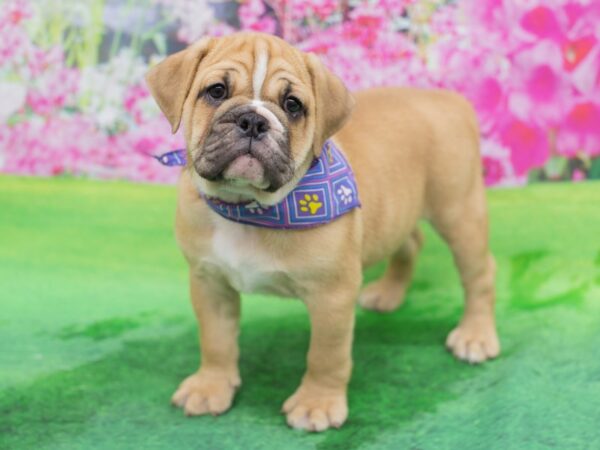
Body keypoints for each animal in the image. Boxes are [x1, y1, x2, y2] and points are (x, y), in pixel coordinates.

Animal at [146, 31, 502, 432]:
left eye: (292, 105)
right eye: (216, 91)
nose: (253, 120)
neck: (248, 207)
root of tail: (448, 98)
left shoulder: (332, 296)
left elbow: (325, 355)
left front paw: (317, 403)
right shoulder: (209, 283)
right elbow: (216, 340)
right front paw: (211, 386)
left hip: (459, 211)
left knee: (479, 273)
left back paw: (475, 336)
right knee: (410, 242)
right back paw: (389, 293)